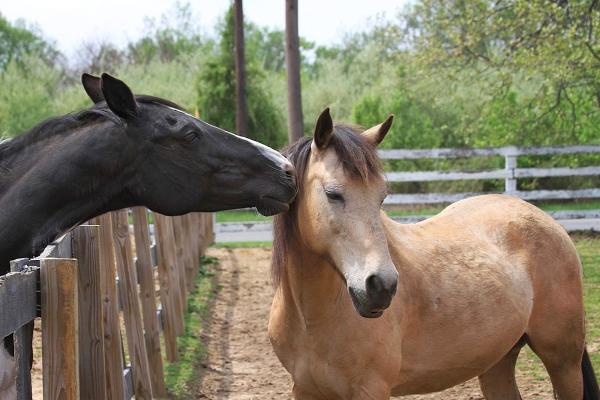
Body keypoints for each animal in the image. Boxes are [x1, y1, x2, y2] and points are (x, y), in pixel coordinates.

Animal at [268, 108, 600, 398]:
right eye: (333, 194)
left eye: (382, 196)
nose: (382, 286)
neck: (313, 320)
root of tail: (548, 222)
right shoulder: (306, 390)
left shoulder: (370, 390)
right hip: (498, 361)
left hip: (563, 362)